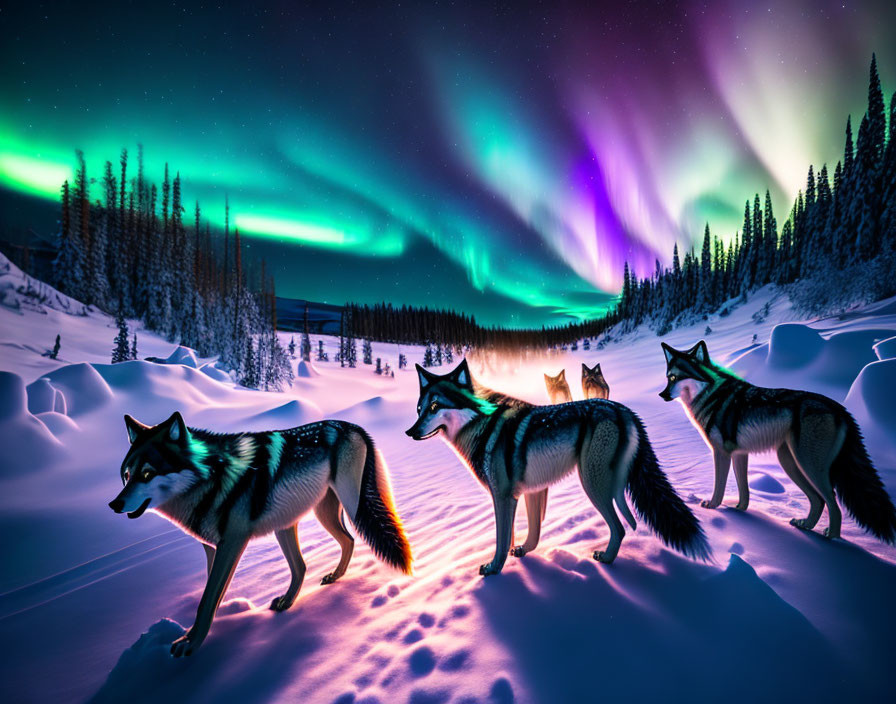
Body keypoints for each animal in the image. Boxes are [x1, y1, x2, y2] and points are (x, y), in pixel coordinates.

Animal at [108, 410, 412, 656]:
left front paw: (191, 643)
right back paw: (300, 595)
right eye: (126, 475)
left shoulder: (232, 543)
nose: (115, 505)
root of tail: (352, 426)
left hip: (351, 506)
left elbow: (206, 599)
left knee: (351, 540)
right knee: (317, 557)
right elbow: (211, 592)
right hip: (301, 519)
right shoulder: (210, 547)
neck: (212, 479)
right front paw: (222, 616)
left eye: (147, 474)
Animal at [404, 360, 708, 576]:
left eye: (435, 406)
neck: (482, 424)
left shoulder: (503, 497)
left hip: (593, 484)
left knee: (621, 528)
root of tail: (624, 410)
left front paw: (493, 569)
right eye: (419, 409)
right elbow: (533, 533)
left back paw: (607, 560)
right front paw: (523, 552)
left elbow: (502, 539)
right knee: (626, 523)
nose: (410, 432)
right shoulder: (532, 491)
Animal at [656, 340, 896, 544]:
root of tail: (840, 408)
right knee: (818, 500)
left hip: (808, 465)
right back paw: (805, 526)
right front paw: (739, 510)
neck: (711, 394)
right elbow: (744, 491)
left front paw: (712, 507)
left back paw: (831, 540)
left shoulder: (721, 453)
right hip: (789, 462)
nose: (662, 395)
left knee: (832, 502)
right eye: (668, 377)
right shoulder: (739, 454)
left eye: (675, 378)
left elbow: (719, 486)